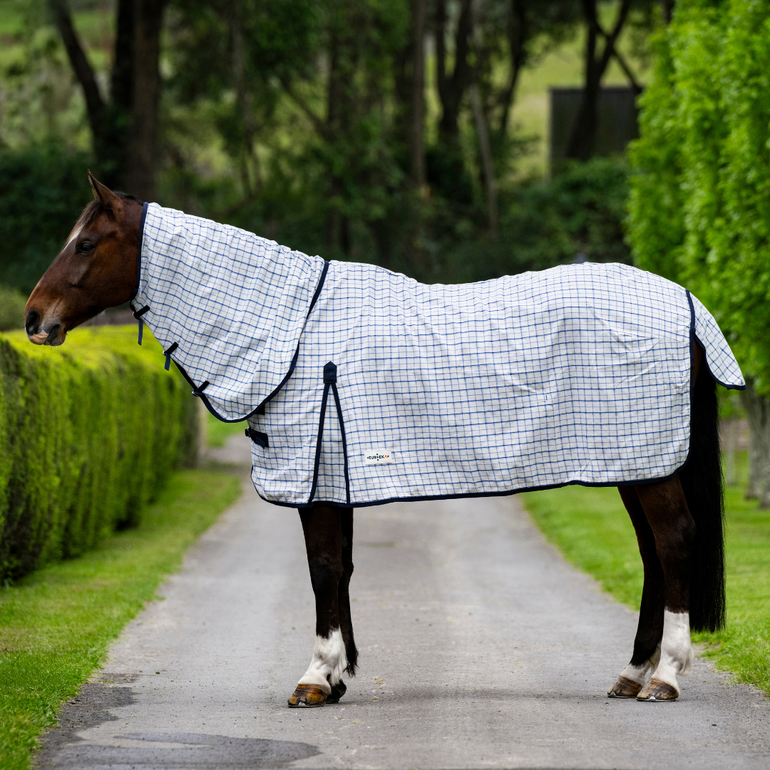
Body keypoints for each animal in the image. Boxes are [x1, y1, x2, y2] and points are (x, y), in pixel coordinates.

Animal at [25, 173, 744, 705]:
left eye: (86, 243)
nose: (34, 319)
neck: (294, 331)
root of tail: (684, 301)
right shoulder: (332, 475)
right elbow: (339, 568)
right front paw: (337, 674)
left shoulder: (316, 478)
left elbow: (322, 568)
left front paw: (315, 678)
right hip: (633, 459)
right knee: (654, 554)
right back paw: (631, 673)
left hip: (650, 462)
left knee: (675, 542)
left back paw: (665, 677)